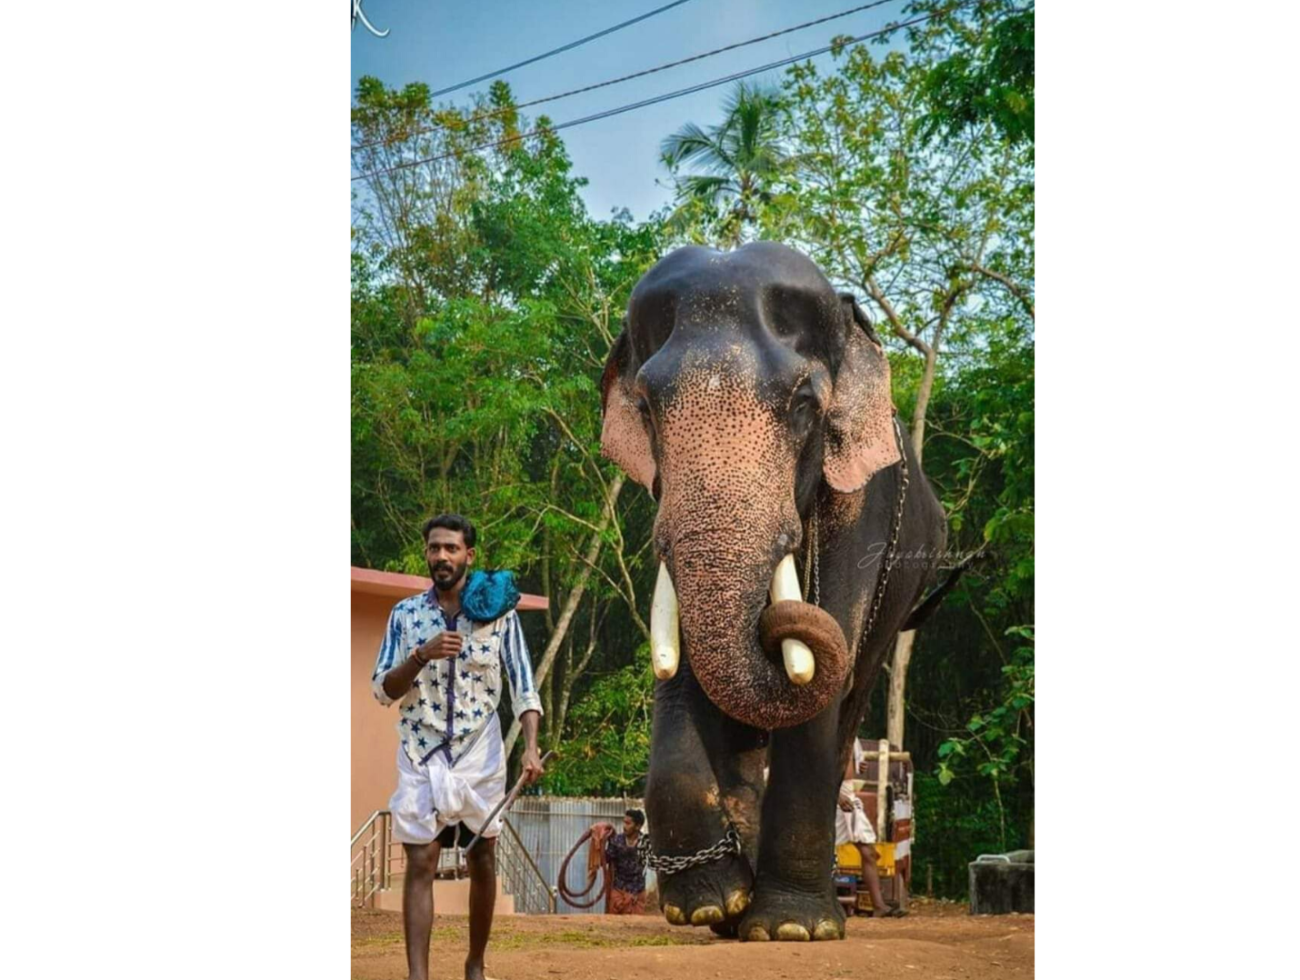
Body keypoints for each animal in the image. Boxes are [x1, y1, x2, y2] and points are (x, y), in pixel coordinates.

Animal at [599, 241, 947, 941]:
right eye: (645, 409)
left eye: (804, 407)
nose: (775, 615)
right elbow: (682, 665)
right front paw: (708, 904)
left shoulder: (863, 505)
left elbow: (829, 640)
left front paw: (792, 928)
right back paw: (733, 911)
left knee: (852, 692)